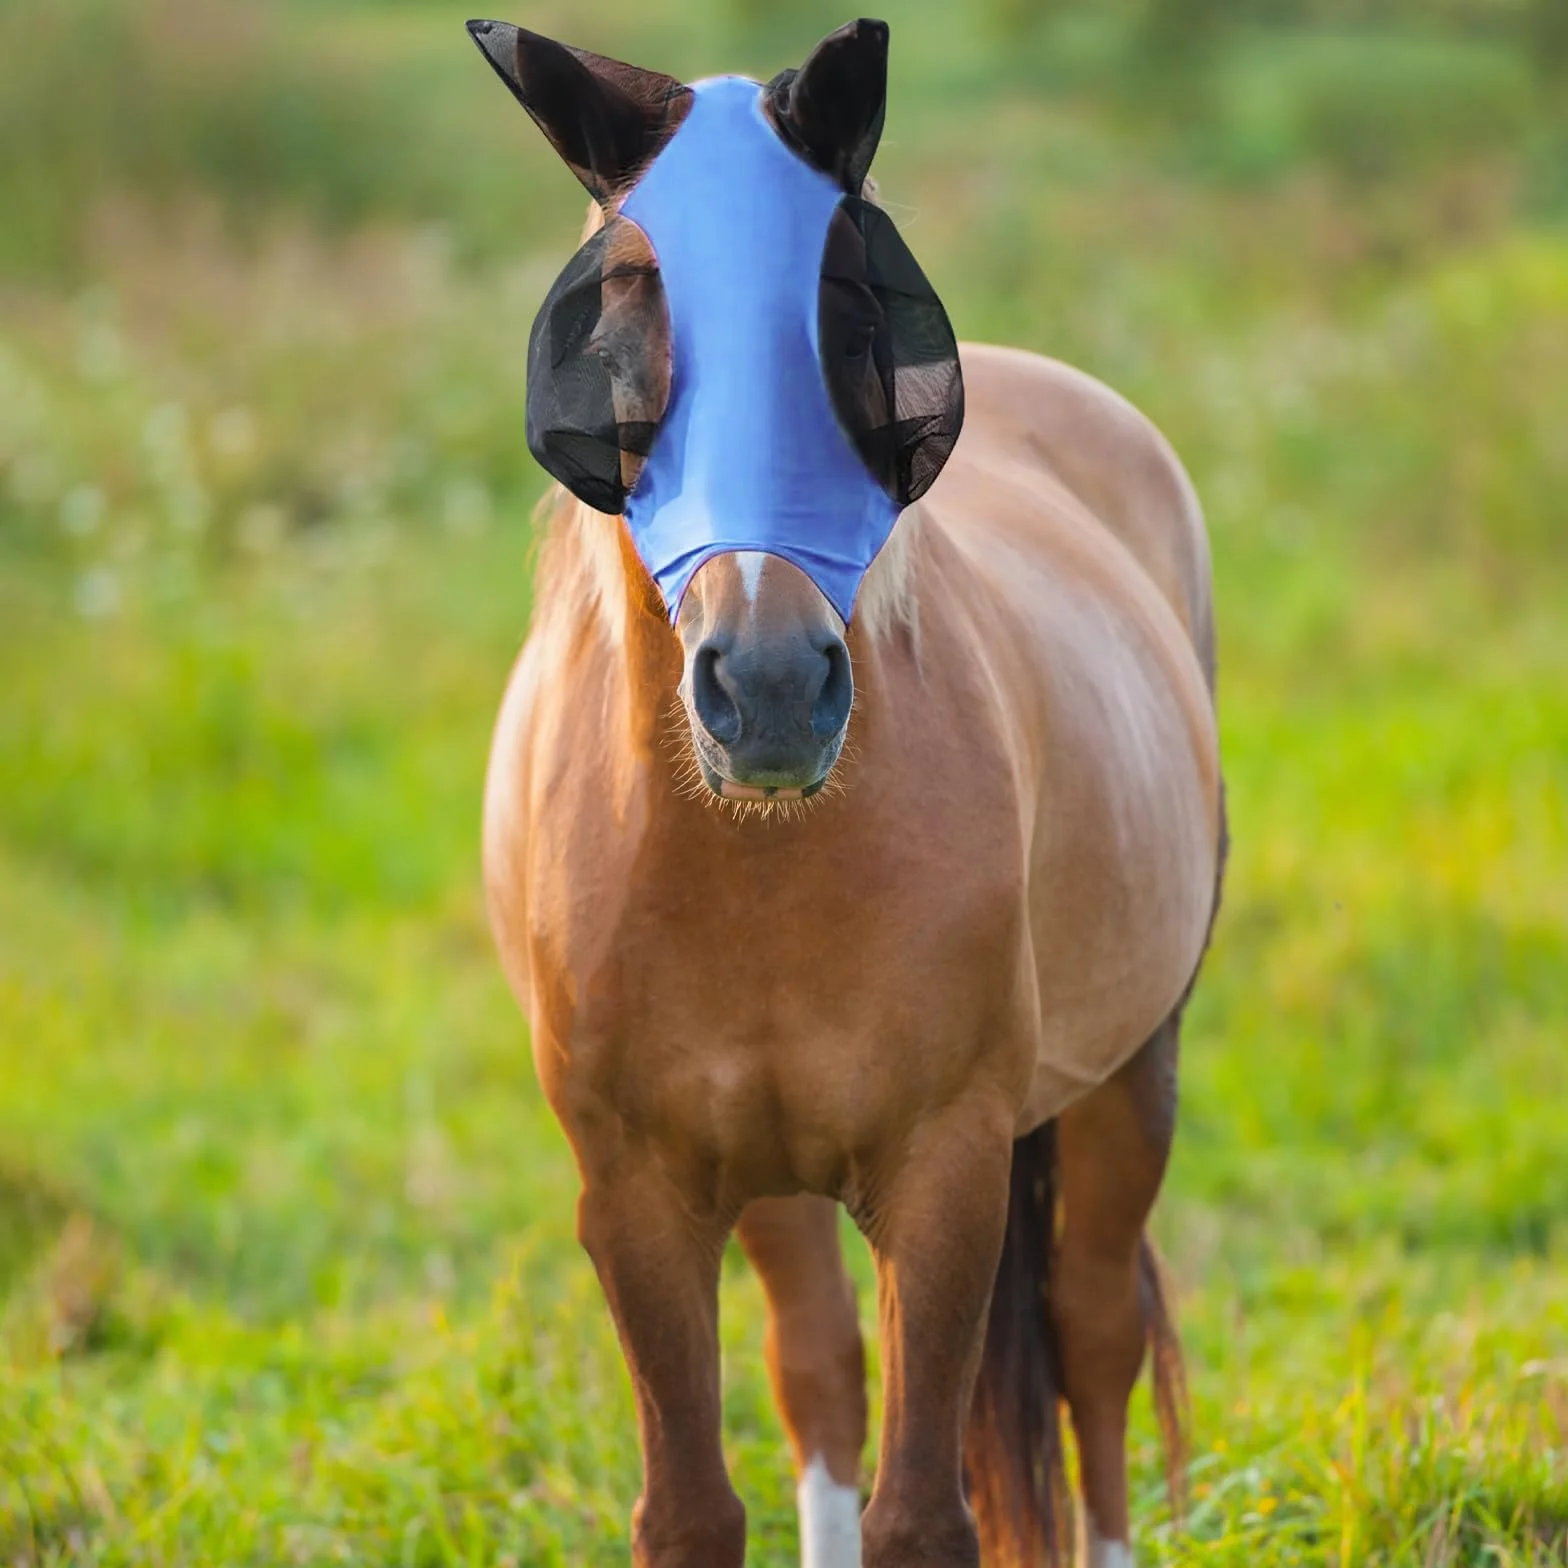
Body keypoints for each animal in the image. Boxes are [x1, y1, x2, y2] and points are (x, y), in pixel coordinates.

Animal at [471, 16, 1225, 1568]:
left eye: (852, 314)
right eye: (622, 310)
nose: (767, 685)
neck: (757, 863)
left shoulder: (946, 1180)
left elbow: (924, 1509)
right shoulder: (639, 1200)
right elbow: (697, 1503)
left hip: (1133, 1072)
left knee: (1095, 1335)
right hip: (771, 1185)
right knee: (816, 1367)